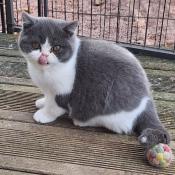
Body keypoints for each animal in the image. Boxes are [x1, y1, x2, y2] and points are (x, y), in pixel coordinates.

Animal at [18, 12, 170, 148]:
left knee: (117, 125)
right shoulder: (49, 89)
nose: (43, 56)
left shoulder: (63, 90)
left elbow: (55, 106)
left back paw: (81, 121)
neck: (45, 72)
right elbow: (48, 98)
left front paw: (44, 115)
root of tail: (147, 100)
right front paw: (43, 102)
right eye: (35, 44)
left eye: (56, 48)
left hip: (112, 112)